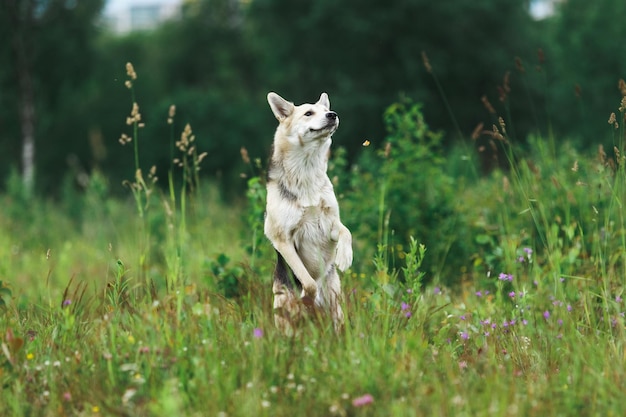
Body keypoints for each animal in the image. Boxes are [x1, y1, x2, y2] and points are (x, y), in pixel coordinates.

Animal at [262, 91, 352, 332]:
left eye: (326, 111)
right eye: (308, 113)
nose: (333, 115)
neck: (306, 171)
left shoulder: (329, 225)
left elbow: (346, 232)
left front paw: (344, 257)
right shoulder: (282, 239)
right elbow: (309, 283)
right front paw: (307, 299)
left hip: (337, 309)